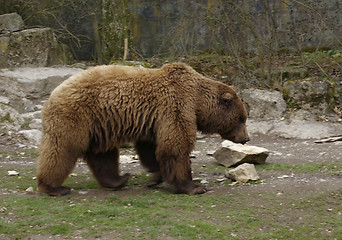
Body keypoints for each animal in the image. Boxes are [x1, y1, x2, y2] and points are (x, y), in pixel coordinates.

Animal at [36, 62, 248, 196]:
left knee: (102, 154)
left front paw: (155, 177)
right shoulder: (176, 107)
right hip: (76, 117)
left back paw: (119, 179)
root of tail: (51, 96)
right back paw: (53, 187)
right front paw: (194, 187)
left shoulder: (154, 121)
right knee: (62, 150)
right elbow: (176, 147)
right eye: (241, 118)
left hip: (98, 126)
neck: (197, 101)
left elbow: (152, 148)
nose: (246, 138)